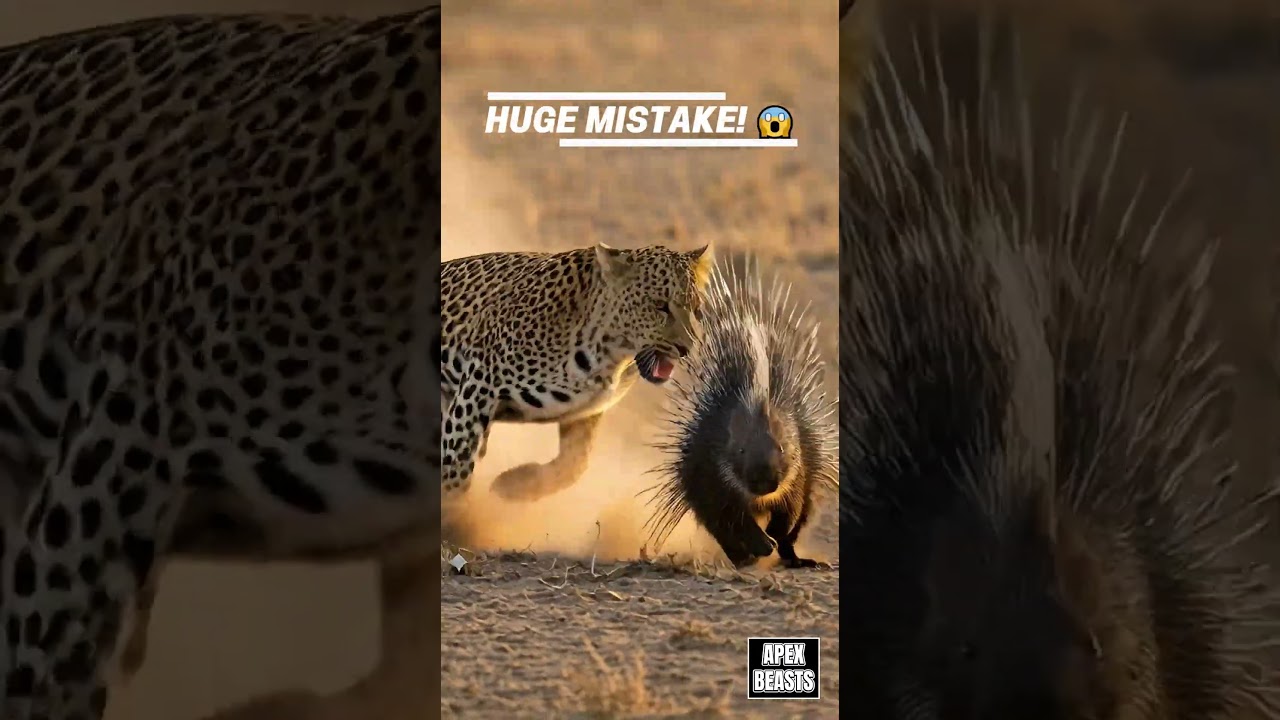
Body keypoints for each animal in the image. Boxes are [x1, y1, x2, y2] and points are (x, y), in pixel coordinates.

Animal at [440, 242, 712, 503]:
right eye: (660, 306)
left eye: (697, 310)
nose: (686, 347)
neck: (609, 359)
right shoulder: (479, 388)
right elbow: (455, 470)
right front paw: (456, 513)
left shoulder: (585, 413)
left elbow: (575, 465)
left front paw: (513, 484)